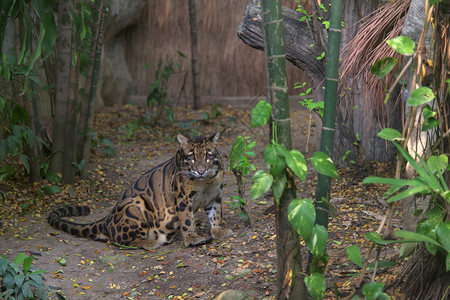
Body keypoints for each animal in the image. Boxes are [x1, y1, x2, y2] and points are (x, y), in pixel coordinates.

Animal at [48, 132, 234, 250]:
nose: (201, 170)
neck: (205, 182)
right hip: (135, 203)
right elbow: (187, 219)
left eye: (208, 156)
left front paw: (218, 230)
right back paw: (149, 243)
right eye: (192, 157)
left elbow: (216, 214)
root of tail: (107, 219)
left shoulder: (215, 196)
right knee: (120, 240)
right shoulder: (182, 198)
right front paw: (192, 238)